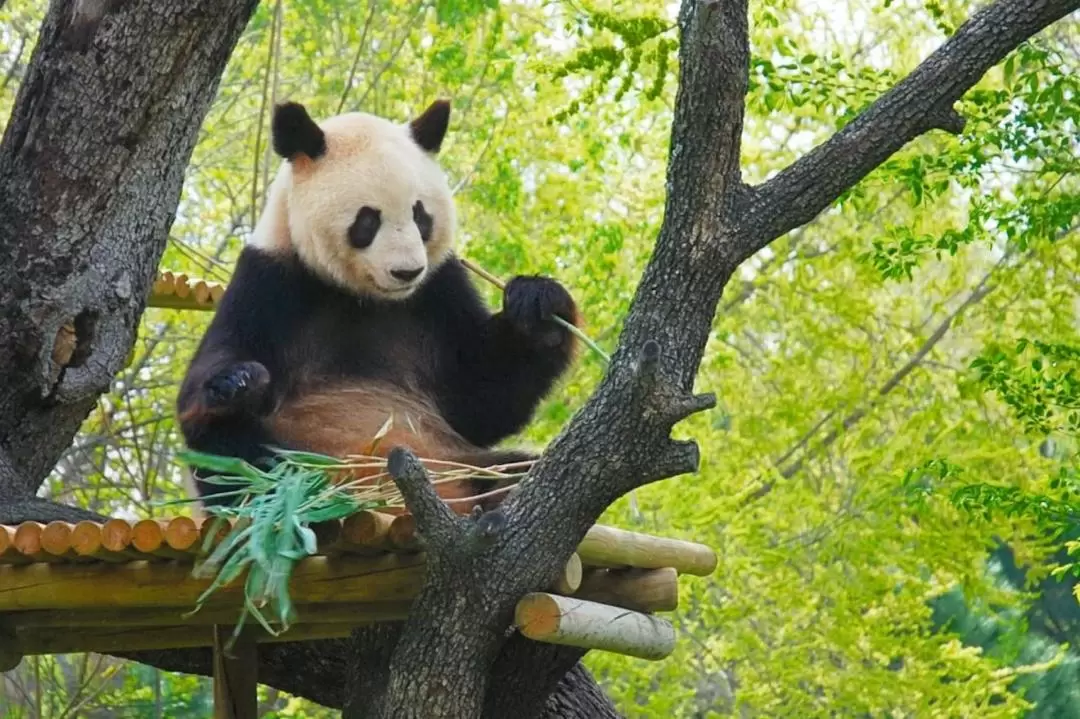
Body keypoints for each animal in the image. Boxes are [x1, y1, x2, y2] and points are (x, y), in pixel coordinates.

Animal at [176, 98, 578, 509]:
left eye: (420, 215)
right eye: (367, 221)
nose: (407, 271)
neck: (362, 297)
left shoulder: (436, 292)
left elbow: (482, 394)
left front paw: (537, 305)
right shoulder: (269, 283)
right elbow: (211, 381)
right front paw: (238, 382)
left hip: (456, 462)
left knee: (514, 470)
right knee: (236, 454)